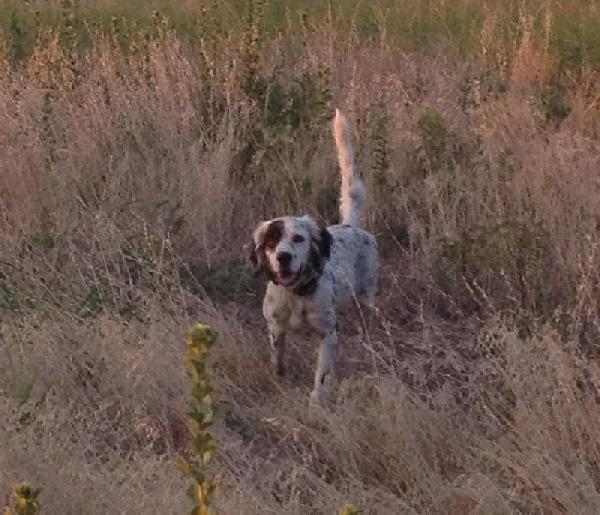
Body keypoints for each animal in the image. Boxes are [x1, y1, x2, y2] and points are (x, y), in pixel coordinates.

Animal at [250, 110, 380, 408]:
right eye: (271, 241)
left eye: (299, 238)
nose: (283, 257)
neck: (297, 295)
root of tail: (350, 225)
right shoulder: (275, 327)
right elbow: (278, 358)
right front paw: (281, 376)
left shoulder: (328, 335)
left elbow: (322, 375)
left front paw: (316, 403)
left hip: (366, 295)